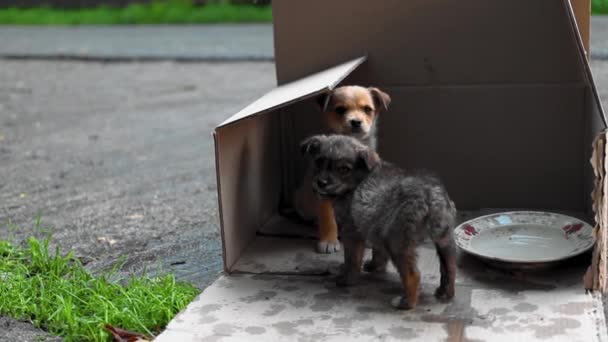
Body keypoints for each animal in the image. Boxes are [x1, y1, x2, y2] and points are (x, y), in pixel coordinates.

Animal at [294, 86, 390, 254]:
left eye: (367, 109)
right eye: (340, 110)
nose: (356, 122)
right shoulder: (323, 192)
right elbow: (328, 218)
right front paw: (329, 240)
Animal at [302, 134, 458, 310]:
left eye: (344, 169)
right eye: (318, 162)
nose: (321, 183)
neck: (357, 182)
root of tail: (430, 197)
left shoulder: (352, 233)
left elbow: (352, 260)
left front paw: (347, 279)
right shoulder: (375, 226)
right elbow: (378, 252)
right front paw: (374, 266)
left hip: (397, 242)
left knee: (413, 275)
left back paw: (406, 303)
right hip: (444, 240)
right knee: (450, 267)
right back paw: (446, 292)